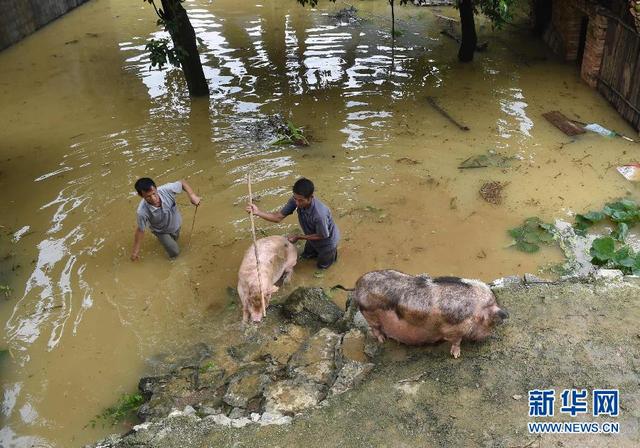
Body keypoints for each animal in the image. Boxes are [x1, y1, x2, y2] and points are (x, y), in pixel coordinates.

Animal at [350, 270, 510, 356]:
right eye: (490, 323)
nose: (486, 337)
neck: (475, 311)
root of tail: (358, 284)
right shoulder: (453, 330)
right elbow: (456, 341)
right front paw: (456, 355)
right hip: (369, 314)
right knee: (375, 329)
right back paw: (382, 340)